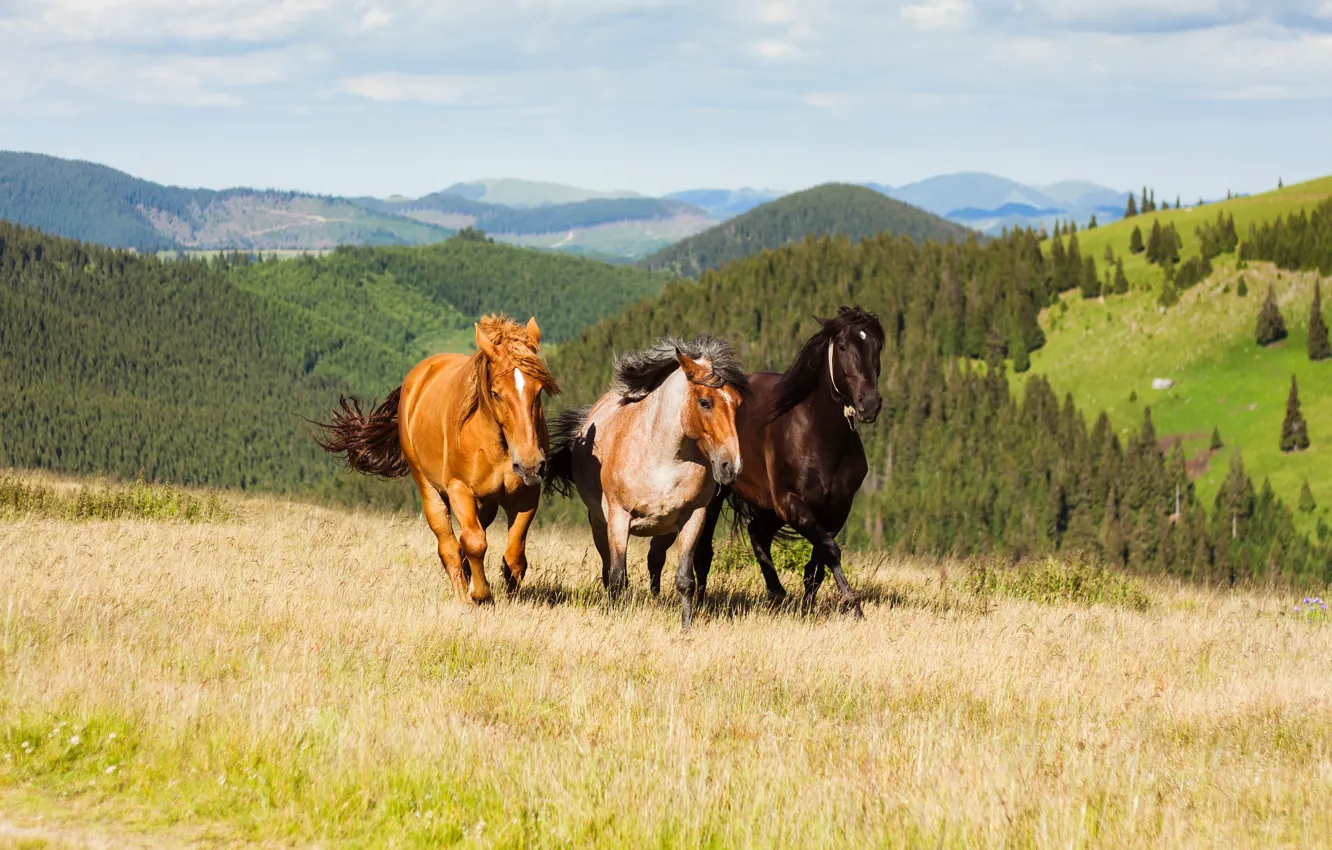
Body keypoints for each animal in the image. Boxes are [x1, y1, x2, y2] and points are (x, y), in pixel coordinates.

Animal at [314, 314, 560, 604]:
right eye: (496, 393)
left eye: (539, 390)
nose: (531, 464)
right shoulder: (459, 489)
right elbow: (474, 542)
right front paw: (480, 594)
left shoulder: (526, 496)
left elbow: (514, 557)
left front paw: (511, 597)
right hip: (430, 488)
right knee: (449, 545)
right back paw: (463, 593)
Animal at [546, 335, 748, 627]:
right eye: (705, 402)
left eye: (737, 402)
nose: (730, 467)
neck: (663, 460)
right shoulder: (619, 518)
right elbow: (617, 577)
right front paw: (614, 618)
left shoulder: (693, 518)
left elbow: (684, 578)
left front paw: (686, 626)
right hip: (599, 524)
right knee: (609, 569)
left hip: (665, 531)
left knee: (655, 560)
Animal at [696, 306, 884, 617]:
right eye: (843, 347)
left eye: (877, 347)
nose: (869, 404)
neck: (820, 437)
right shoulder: (792, 503)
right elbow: (830, 550)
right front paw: (852, 603)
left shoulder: (836, 509)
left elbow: (818, 562)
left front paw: (808, 607)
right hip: (720, 496)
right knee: (704, 551)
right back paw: (699, 602)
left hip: (769, 505)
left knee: (757, 532)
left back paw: (777, 592)